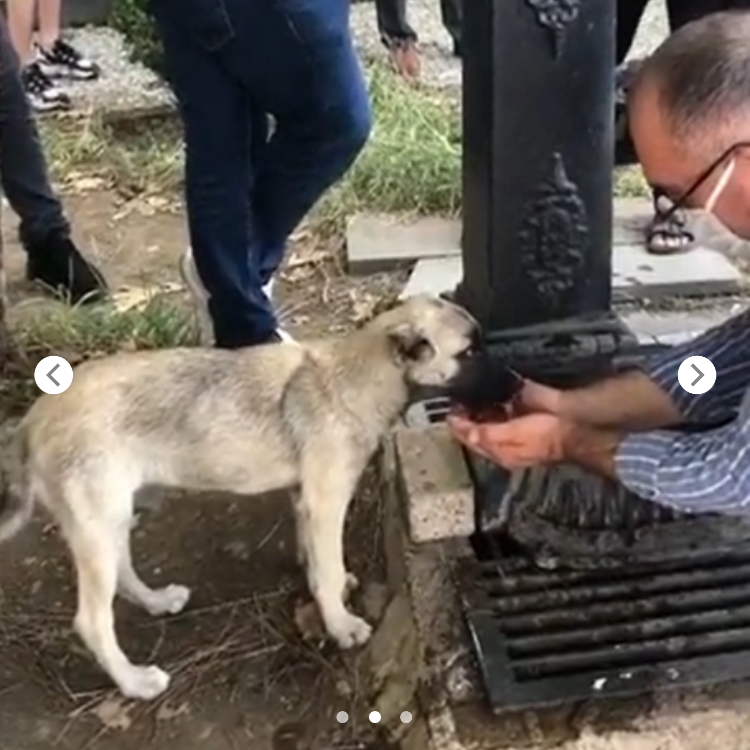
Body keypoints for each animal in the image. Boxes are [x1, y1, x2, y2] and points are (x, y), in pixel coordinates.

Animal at [0, 292, 482, 700]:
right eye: (469, 352)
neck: (353, 374)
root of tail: (34, 416)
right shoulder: (326, 503)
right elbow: (327, 569)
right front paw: (340, 624)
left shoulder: (303, 499)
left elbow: (317, 561)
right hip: (99, 525)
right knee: (93, 621)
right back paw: (134, 682)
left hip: (110, 519)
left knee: (122, 572)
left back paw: (157, 602)